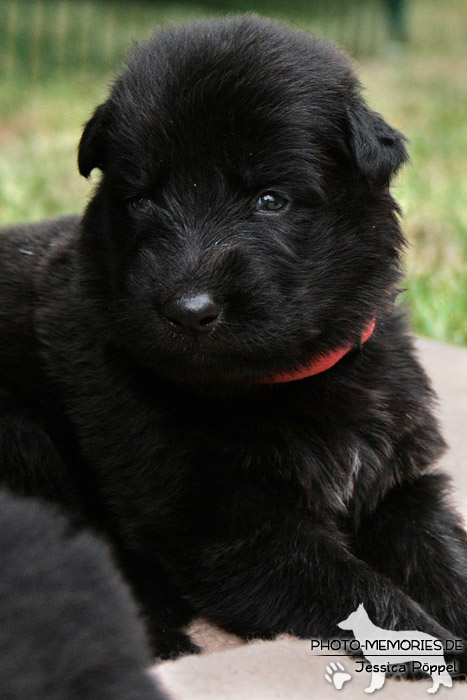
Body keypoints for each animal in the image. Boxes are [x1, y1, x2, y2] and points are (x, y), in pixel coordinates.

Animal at [0, 15, 467, 672]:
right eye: (142, 199)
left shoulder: (398, 485)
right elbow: (363, 594)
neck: (283, 379)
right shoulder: (232, 529)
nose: (188, 311)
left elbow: (444, 556)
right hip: (23, 444)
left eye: (270, 199)